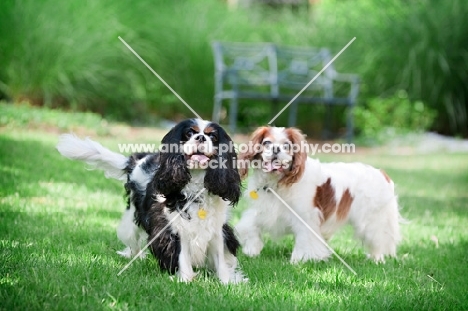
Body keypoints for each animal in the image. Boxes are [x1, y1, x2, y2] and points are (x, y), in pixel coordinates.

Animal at [57, 119, 245, 286]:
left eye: (212, 136)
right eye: (189, 133)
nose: (200, 138)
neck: (196, 184)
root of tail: (137, 159)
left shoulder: (217, 229)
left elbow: (220, 258)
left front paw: (226, 282)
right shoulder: (173, 228)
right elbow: (182, 256)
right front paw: (185, 280)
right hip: (132, 221)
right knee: (132, 242)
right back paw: (134, 257)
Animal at [236, 126, 400, 264]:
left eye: (287, 145)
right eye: (267, 143)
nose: (276, 149)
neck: (277, 183)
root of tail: (382, 173)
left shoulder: (306, 217)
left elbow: (305, 239)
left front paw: (299, 260)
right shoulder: (265, 211)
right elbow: (248, 224)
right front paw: (252, 248)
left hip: (371, 222)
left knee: (378, 241)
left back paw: (376, 260)